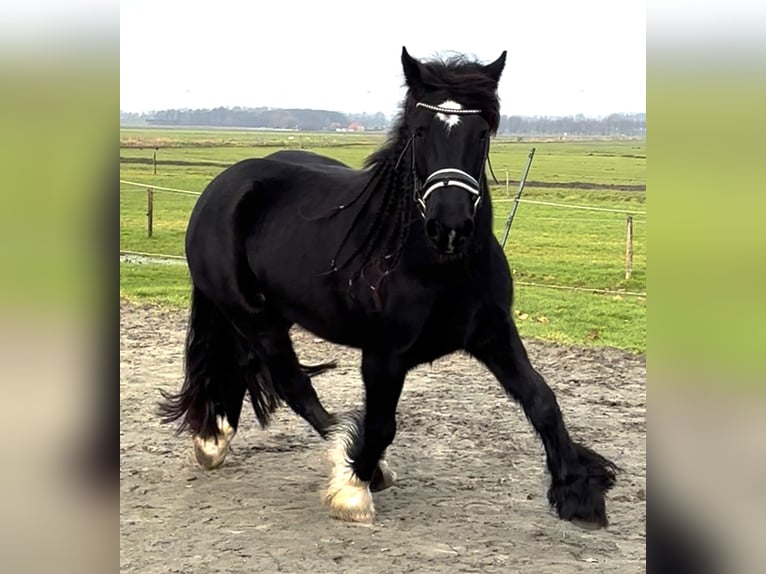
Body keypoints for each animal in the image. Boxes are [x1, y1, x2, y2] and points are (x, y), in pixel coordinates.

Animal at [160, 47, 616, 528]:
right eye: (420, 130)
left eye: (482, 132)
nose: (449, 226)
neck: (434, 266)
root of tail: (222, 187)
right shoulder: (383, 354)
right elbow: (381, 423)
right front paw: (352, 488)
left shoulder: (493, 334)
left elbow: (541, 399)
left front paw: (578, 492)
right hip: (255, 317)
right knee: (293, 384)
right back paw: (353, 465)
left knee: (242, 366)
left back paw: (216, 437)